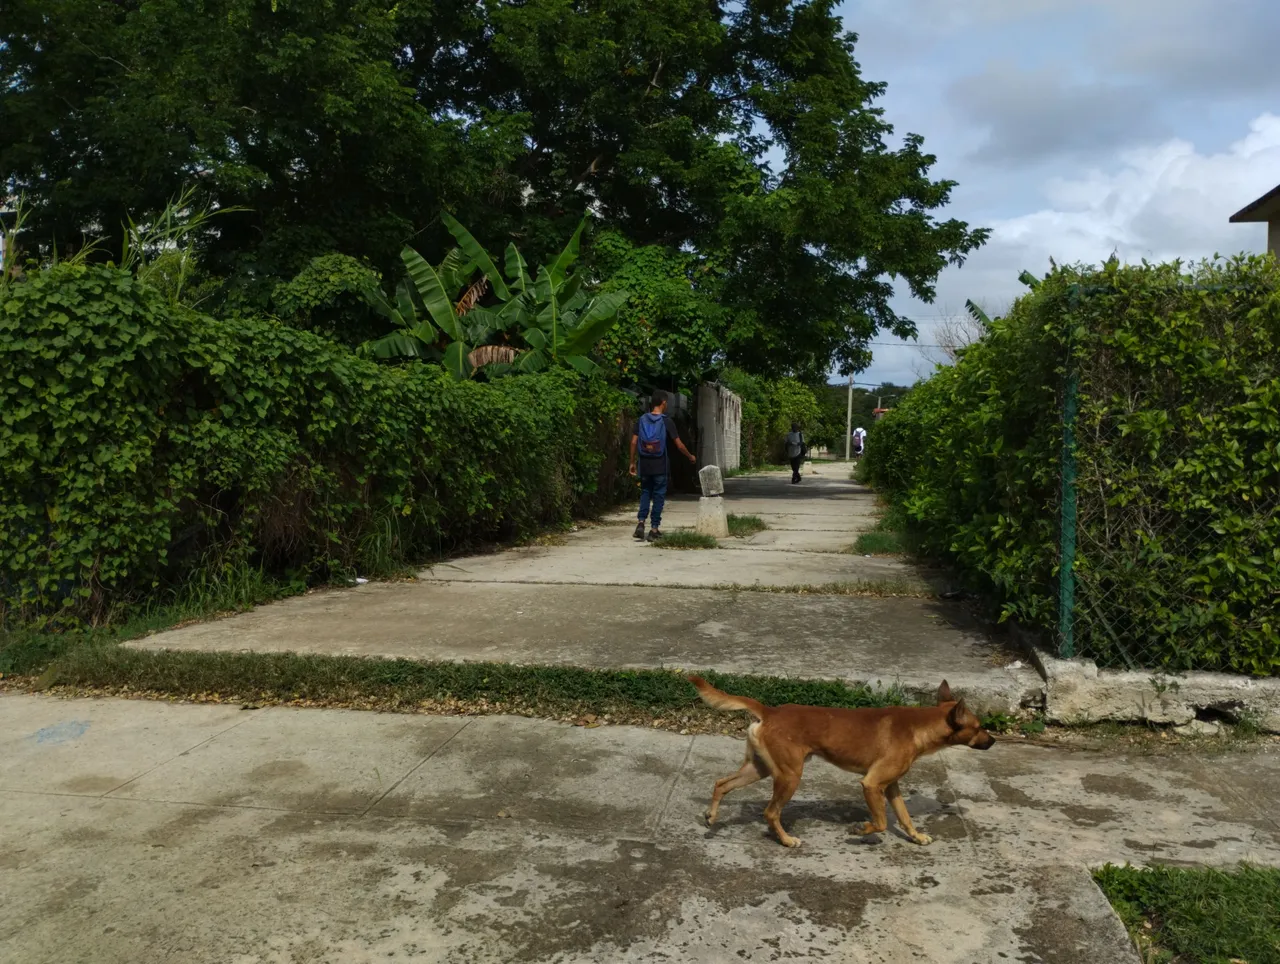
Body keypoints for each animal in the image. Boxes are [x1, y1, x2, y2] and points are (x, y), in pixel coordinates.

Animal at [696, 670, 993, 844]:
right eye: (979, 727)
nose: (993, 740)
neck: (918, 727)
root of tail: (770, 711)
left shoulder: (891, 786)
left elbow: (905, 816)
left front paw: (917, 836)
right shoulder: (871, 784)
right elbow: (881, 822)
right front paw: (861, 830)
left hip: (761, 769)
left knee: (722, 784)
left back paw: (711, 816)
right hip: (790, 775)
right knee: (770, 812)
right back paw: (787, 840)